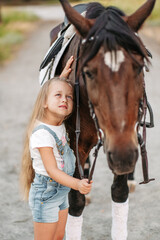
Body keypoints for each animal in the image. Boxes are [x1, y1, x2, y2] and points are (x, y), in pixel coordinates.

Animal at [48, 0, 155, 238]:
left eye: (138, 67)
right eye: (88, 73)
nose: (124, 156)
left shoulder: (126, 136)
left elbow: (119, 192)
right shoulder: (76, 141)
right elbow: (75, 199)